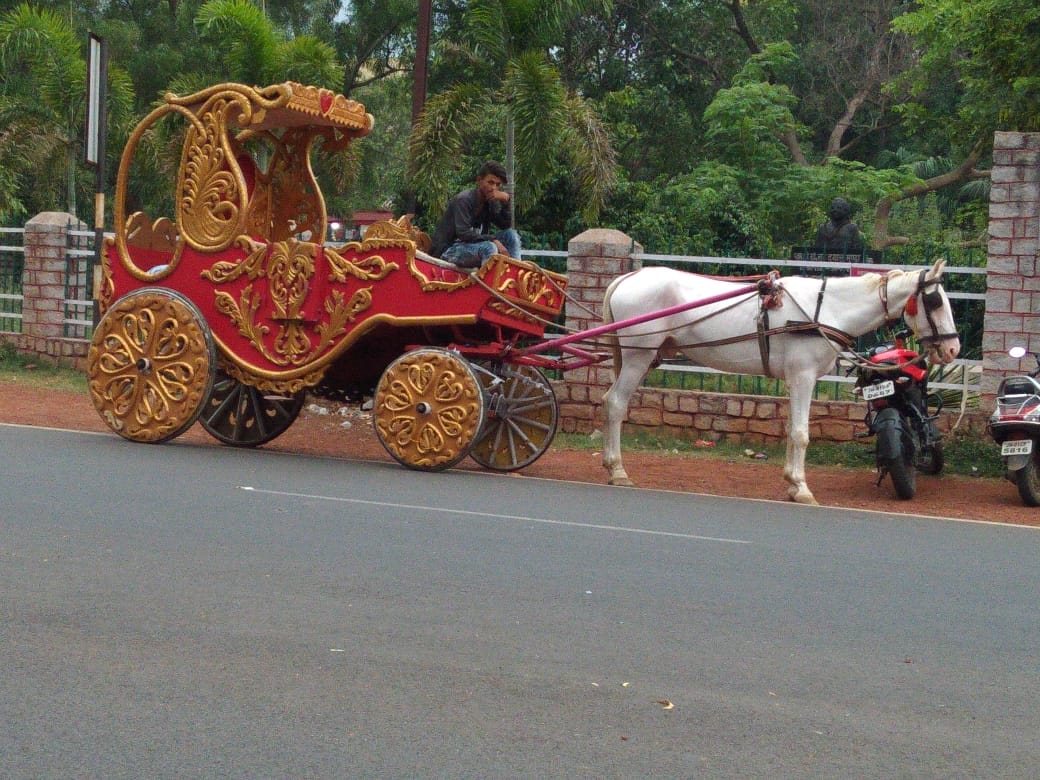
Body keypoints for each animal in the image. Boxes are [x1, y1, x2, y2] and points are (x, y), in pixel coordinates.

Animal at [603, 260, 956, 503]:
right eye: (935, 302)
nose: (953, 348)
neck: (826, 310)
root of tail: (627, 277)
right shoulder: (803, 377)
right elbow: (800, 434)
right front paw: (801, 487)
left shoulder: (793, 380)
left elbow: (789, 430)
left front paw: (791, 482)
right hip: (637, 357)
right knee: (616, 404)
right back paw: (617, 469)